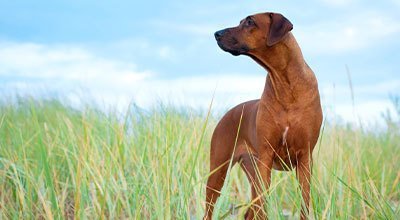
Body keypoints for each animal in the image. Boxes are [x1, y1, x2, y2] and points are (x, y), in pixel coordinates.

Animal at [205, 12, 324, 220]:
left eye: (249, 21)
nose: (216, 33)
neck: (286, 85)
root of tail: (228, 113)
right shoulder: (266, 157)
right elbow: (263, 207)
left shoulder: (305, 159)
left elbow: (304, 203)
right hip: (220, 169)